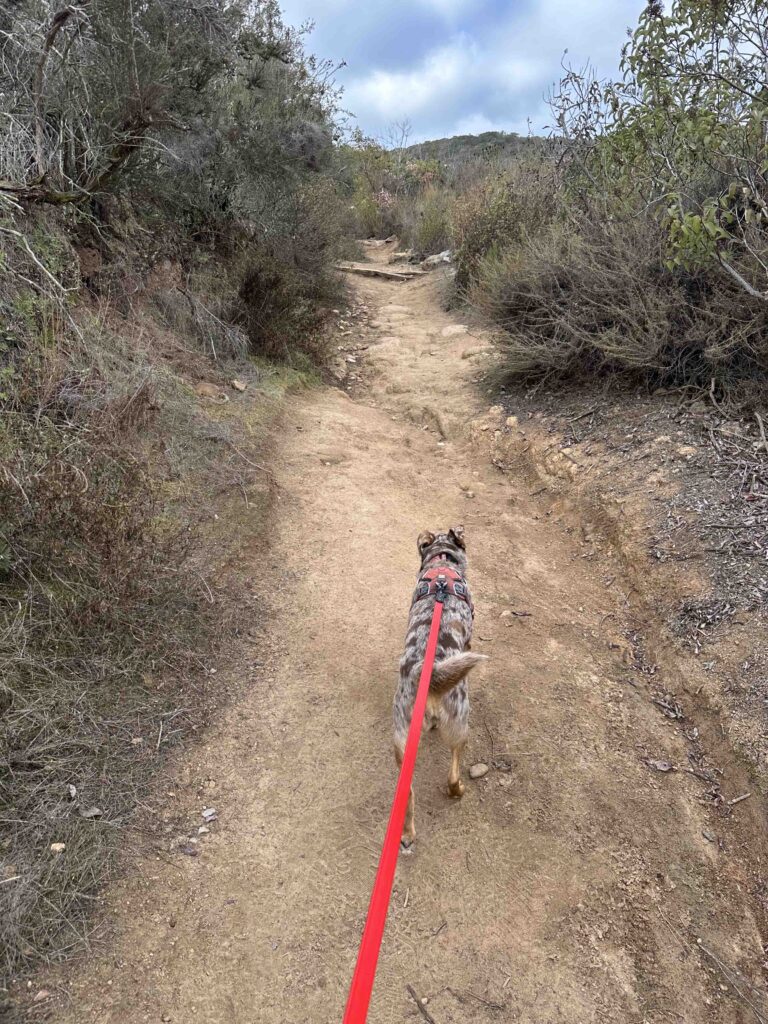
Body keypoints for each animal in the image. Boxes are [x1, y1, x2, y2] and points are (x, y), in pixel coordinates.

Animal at [397, 524, 487, 843]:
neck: (441, 564)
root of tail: (426, 674)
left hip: (401, 741)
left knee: (408, 795)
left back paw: (407, 832)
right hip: (460, 723)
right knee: (452, 775)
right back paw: (458, 790)